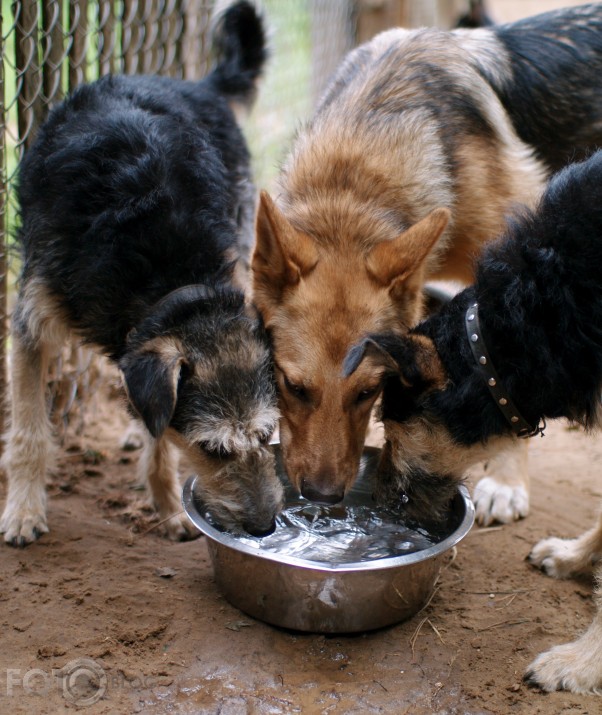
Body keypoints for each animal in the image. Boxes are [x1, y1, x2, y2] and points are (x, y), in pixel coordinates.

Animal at [0, 1, 284, 548]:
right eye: (212, 450)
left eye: (266, 434)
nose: (265, 528)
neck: (167, 275)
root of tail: (199, 86)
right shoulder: (31, 322)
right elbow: (29, 430)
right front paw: (23, 511)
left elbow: (161, 434)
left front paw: (169, 505)